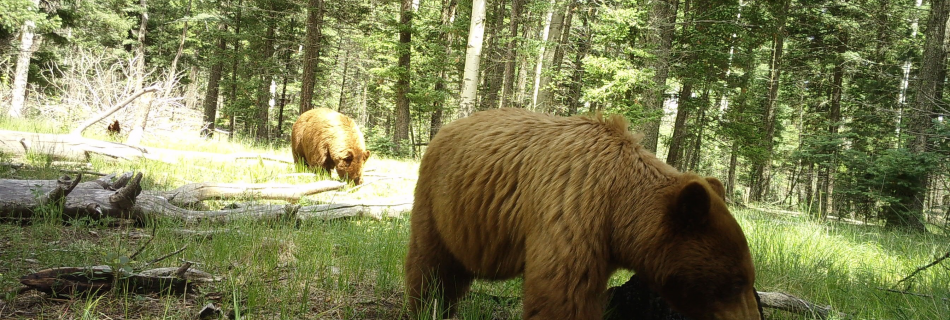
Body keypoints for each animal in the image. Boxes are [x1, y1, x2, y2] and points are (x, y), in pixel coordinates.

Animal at [406, 108, 764, 320]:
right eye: (736, 282)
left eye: (749, 279)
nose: (751, 317)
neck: (619, 207)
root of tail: (445, 128)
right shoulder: (573, 208)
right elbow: (562, 293)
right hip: (440, 200)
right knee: (433, 265)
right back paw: (430, 308)